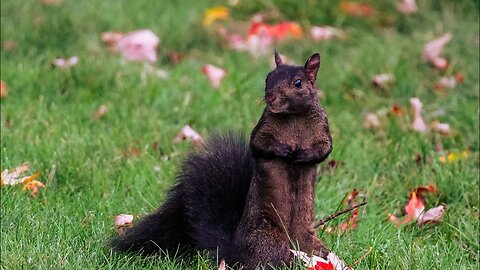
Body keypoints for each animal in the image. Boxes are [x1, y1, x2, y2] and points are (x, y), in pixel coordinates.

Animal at [110, 51, 332, 268]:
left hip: (309, 241)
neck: (294, 116)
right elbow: (258, 143)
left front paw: (303, 155)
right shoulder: (263, 126)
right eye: (268, 78)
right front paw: (285, 150)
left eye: (298, 83)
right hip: (269, 240)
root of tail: (233, 254)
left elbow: (325, 148)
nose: (270, 97)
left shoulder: (322, 127)